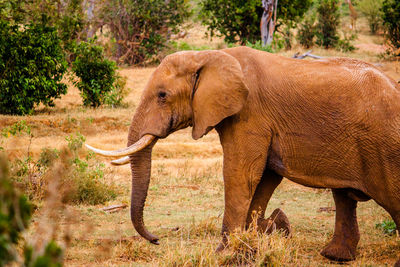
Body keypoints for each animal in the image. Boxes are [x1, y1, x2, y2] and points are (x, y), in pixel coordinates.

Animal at [86, 46, 400, 264]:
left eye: (162, 95)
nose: (157, 239)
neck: (210, 55)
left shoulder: (249, 114)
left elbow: (240, 174)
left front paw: (223, 255)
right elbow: (263, 179)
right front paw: (248, 248)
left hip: (384, 146)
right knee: (344, 197)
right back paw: (334, 257)